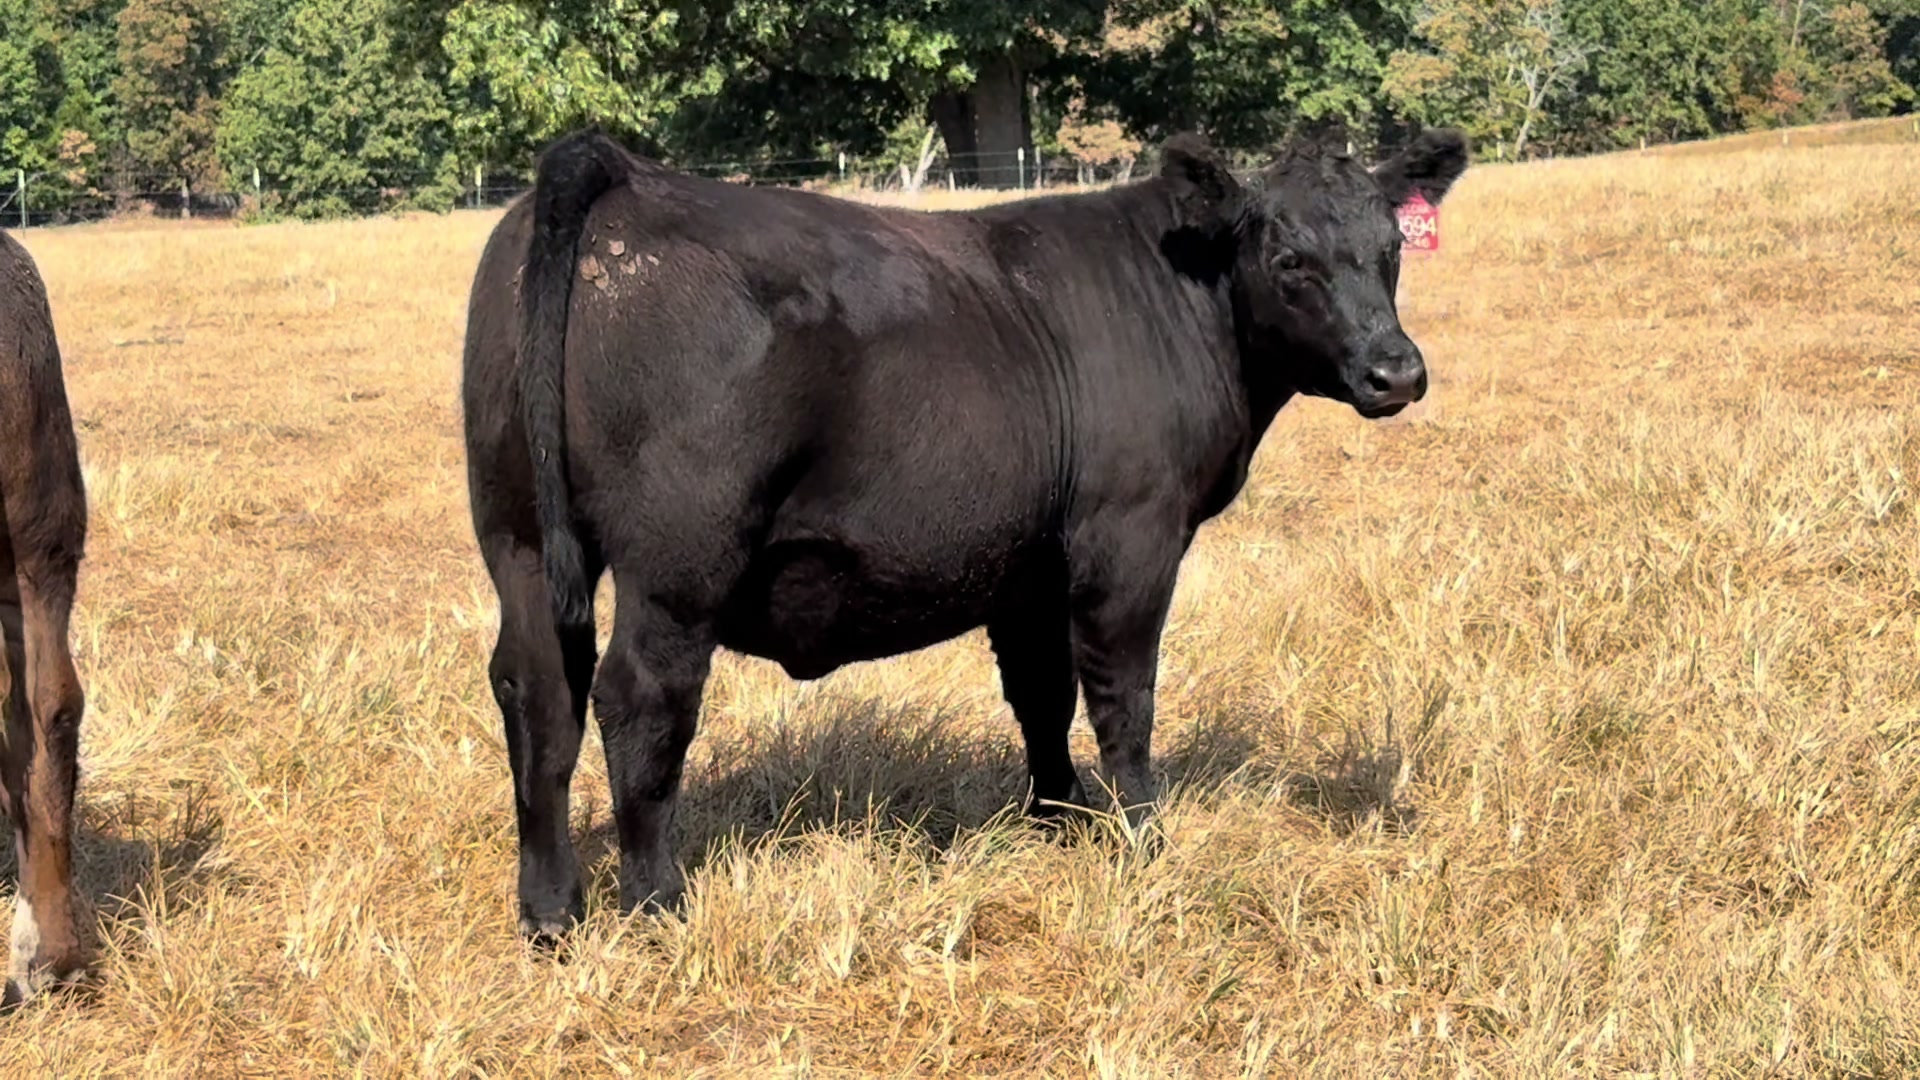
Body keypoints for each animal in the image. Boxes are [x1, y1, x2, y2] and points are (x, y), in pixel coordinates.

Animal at [462, 127, 1468, 940]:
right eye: (1291, 259)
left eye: (1390, 249)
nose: (1396, 371)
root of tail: (621, 172)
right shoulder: (1130, 538)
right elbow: (1123, 699)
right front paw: (1140, 837)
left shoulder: (1029, 566)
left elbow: (1041, 696)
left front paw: (1059, 819)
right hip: (678, 564)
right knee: (640, 699)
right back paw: (656, 903)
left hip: (518, 538)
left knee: (538, 691)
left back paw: (550, 912)